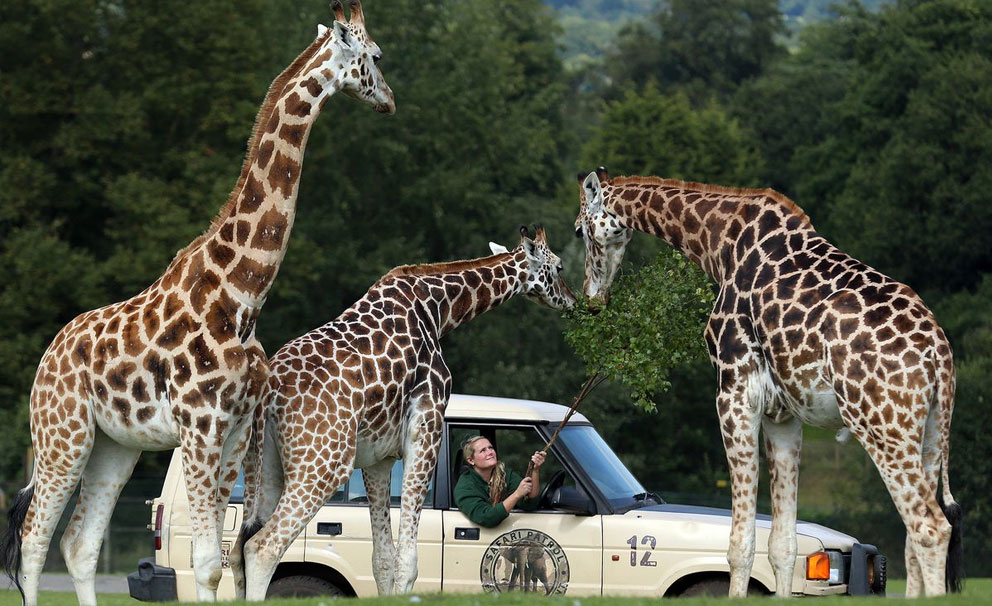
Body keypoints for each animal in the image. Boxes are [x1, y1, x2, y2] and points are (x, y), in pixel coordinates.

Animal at [0, 2, 396, 604]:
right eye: (374, 55)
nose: (390, 99)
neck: (243, 297)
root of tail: (47, 357)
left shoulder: (234, 431)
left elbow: (213, 565)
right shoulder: (201, 426)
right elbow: (208, 562)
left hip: (114, 445)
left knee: (79, 544)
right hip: (61, 435)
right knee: (32, 541)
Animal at [233, 228, 572, 604]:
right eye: (559, 266)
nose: (574, 301)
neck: (439, 309)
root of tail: (268, 392)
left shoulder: (377, 457)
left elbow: (383, 558)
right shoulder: (426, 428)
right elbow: (408, 561)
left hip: (265, 467)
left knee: (237, 551)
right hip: (324, 464)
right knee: (262, 547)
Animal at [572, 170, 960, 600]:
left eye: (578, 231)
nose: (592, 299)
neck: (718, 246)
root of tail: (938, 354)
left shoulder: (735, 391)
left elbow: (740, 544)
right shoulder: (783, 414)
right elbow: (783, 545)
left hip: (882, 426)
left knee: (930, 527)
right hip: (930, 432)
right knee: (914, 535)